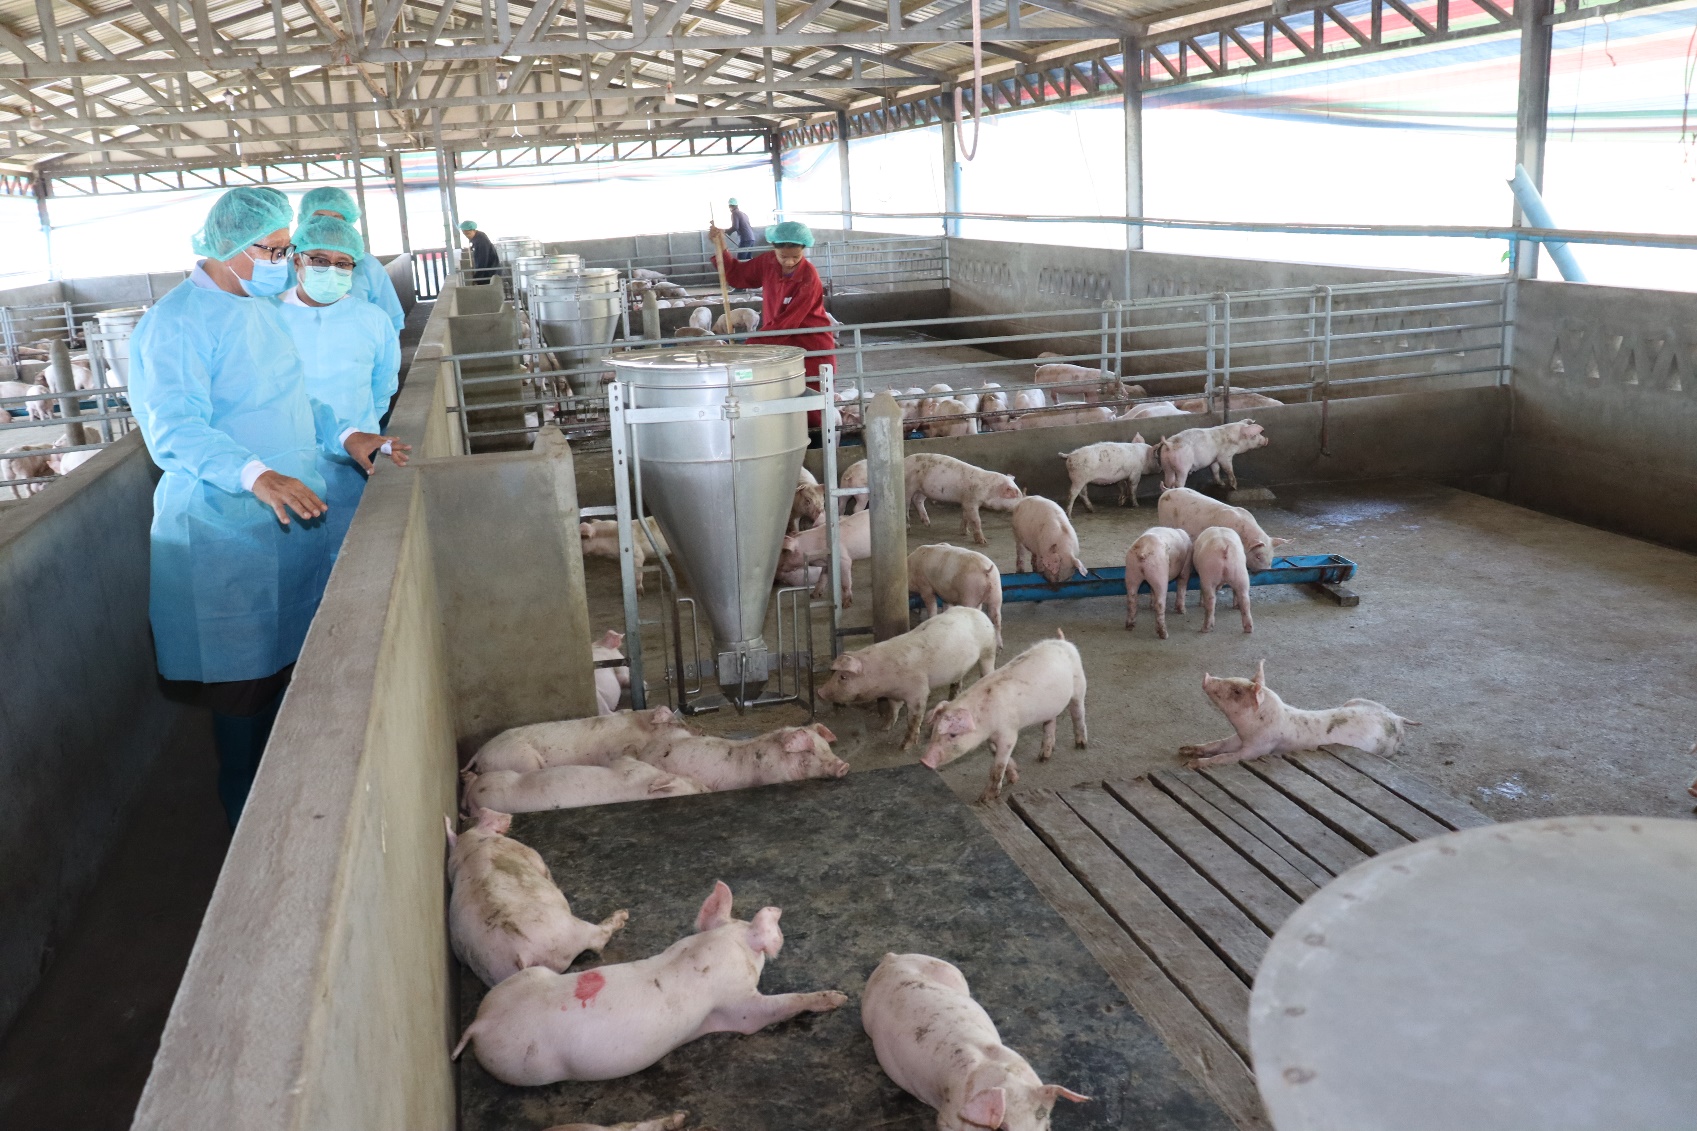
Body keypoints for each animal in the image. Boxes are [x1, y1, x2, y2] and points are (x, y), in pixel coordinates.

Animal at [446, 806, 629, 987]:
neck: (469, 847)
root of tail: (519, 958)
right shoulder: (532, 855)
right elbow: (546, 871)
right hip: (567, 930)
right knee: (598, 939)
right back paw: (622, 915)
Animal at [452, 881, 848, 1085]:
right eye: (765, 952)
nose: (843, 996)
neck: (712, 950)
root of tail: (480, 1023)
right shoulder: (739, 1005)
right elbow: (774, 1007)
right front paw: (839, 998)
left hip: (528, 977)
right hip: (530, 1067)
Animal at [818, 607, 997, 747]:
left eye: (843, 677)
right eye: (835, 674)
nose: (820, 691)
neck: (882, 675)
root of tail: (978, 611)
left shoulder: (918, 692)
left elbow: (914, 718)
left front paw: (904, 746)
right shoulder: (893, 694)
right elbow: (893, 709)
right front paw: (884, 727)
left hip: (988, 649)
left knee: (988, 670)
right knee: (957, 682)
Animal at [921, 633, 1088, 803]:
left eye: (953, 734)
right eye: (935, 731)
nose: (924, 761)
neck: (984, 719)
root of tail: (1063, 642)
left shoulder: (1008, 733)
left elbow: (998, 766)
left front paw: (985, 798)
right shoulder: (991, 737)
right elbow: (995, 754)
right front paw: (1014, 777)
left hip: (1079, 685)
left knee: (1078, 713)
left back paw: (1081, 745)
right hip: (1050, 707)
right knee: (1050, 723)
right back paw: (1043, 757)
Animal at [1180, 660, 1418, 769]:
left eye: (1237, 691)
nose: (1206, 676)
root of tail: (1397, 719)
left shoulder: (1259, 747)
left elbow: (1227, 756)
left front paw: (1191, 765)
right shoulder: (1238, 737)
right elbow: (1218, 744)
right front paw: (1184, 750)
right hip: (1357, 700)